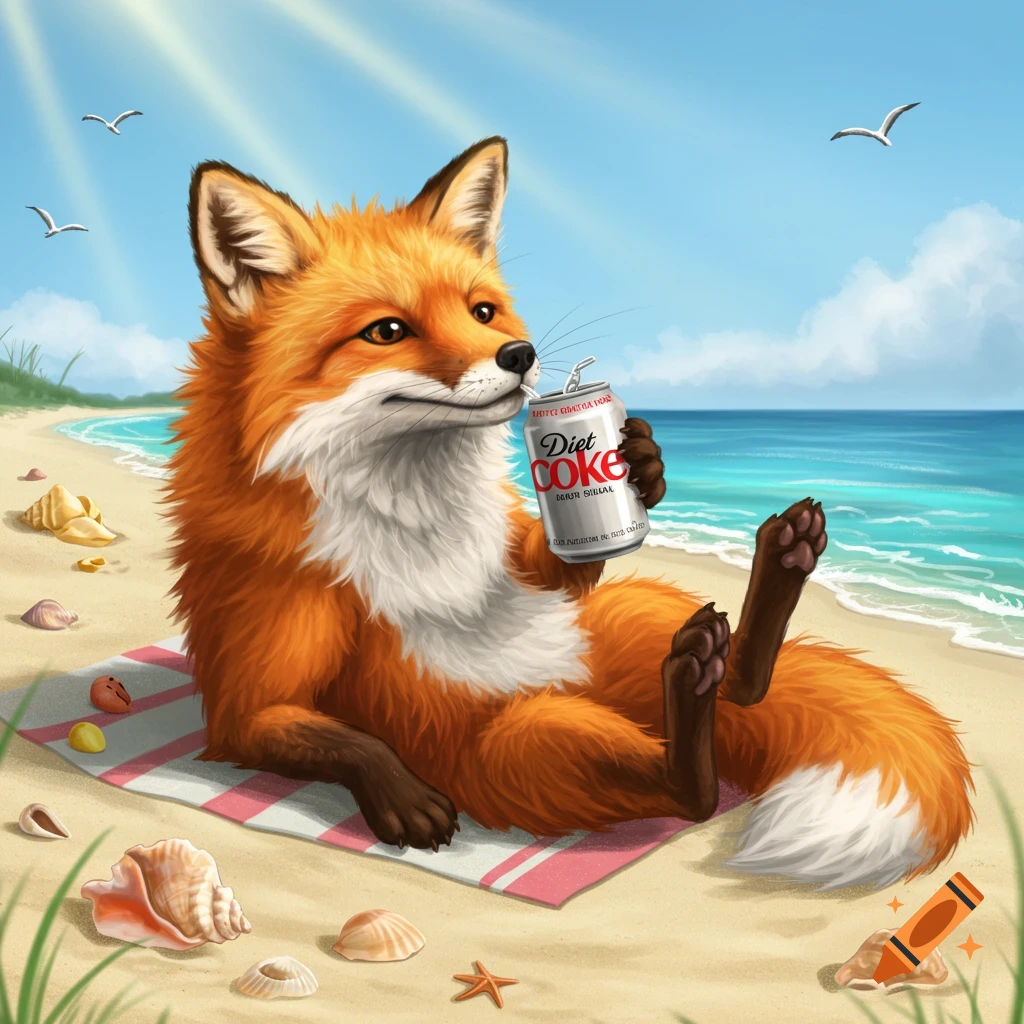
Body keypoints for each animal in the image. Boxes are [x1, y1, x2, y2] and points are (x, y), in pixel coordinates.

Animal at [163, 136, 974, 891]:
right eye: (388, 331)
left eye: (482, 311)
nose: (520, 355)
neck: (413, 512)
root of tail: (581, 693)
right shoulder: (245, 701)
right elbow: (344, 740)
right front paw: (400, 795)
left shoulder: (515, 560)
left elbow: (554, 560)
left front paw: (640, 465)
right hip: (517, 747)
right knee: (690, 791)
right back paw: (694, 701)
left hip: (623, 627)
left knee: (741, 690)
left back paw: (775, 570)